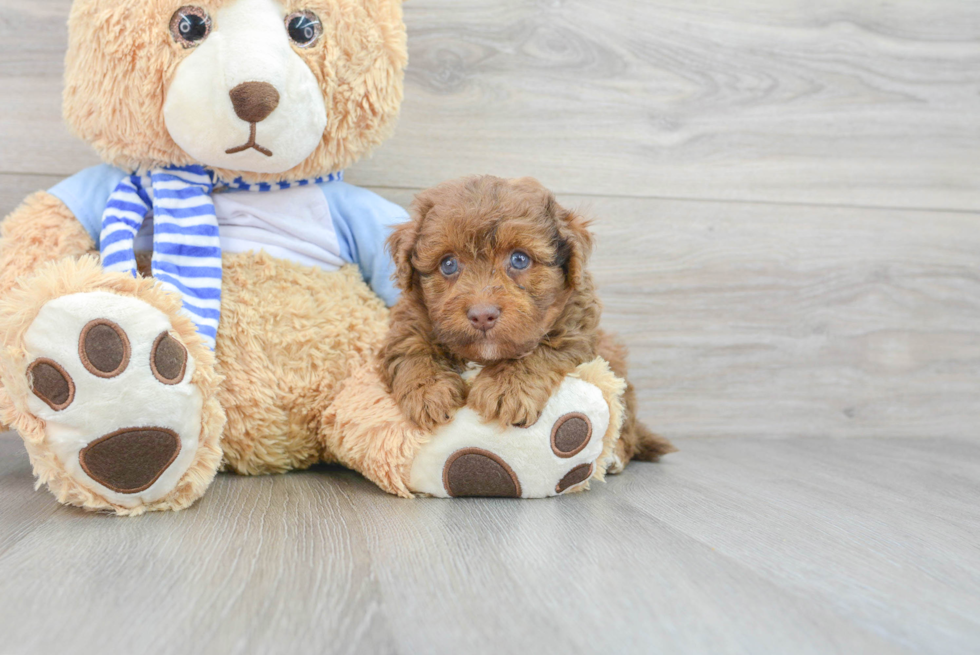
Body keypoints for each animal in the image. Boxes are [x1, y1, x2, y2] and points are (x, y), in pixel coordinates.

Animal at [380, 177, 672, 464]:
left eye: (519, 259)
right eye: (448, 264)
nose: (482, 315)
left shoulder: (575, 326)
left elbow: (540, 350)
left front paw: (505, 389)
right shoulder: (408, 322)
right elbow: (412, 349)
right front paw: (428, 392)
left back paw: (617, 455)